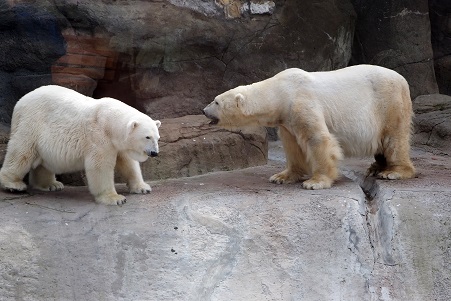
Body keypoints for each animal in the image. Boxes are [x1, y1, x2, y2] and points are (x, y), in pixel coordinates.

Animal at [0, 85, 162, 205]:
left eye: (157, 138)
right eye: (147, 137)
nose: (155, 153)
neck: (110, 121)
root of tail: (19, 103)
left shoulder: (117, 143)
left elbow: (128, 163)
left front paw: (143, 187)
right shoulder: (99, 137)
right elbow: (100, 166)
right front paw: (115, 198)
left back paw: (52, 185)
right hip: (31, 124)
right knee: (21, 152)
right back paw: (13, 184)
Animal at [205, 64, 416, 189]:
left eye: (216, 102)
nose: (204, 110)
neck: (280, 92)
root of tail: (403, 79)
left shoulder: (301, 102)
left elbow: (317, 139)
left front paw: (315, 182)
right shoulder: (286, 119)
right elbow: (292, 146)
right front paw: (281, 176)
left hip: (389, 102)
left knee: (394, 138)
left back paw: (393, 172)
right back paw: (375, 167)